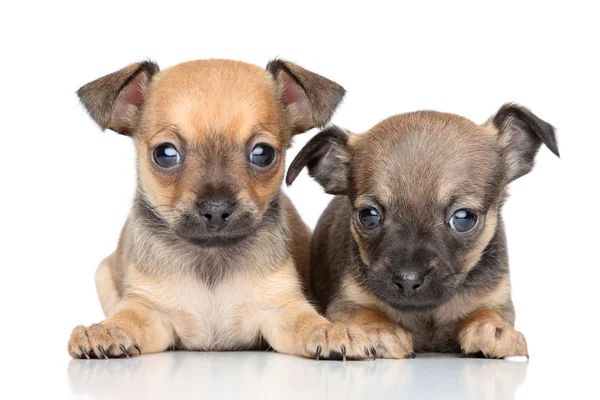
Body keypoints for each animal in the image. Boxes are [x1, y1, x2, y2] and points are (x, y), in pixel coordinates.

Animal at [68, 57, 372, 360]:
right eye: (165, 154)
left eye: (263, 154)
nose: (216, 208)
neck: (211, 256)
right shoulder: (149, 309)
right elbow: (127, 317)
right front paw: (105, 330)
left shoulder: (280, 308)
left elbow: (305, 320)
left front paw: (330, 330)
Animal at [286, 104, 556, 360]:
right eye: (368, 216)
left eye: (464, 218)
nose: (408, 279)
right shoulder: (346, 303)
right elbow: (367, 313)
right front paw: (380, 330)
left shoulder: (496, 300)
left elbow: (488, 312)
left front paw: (493, 329)